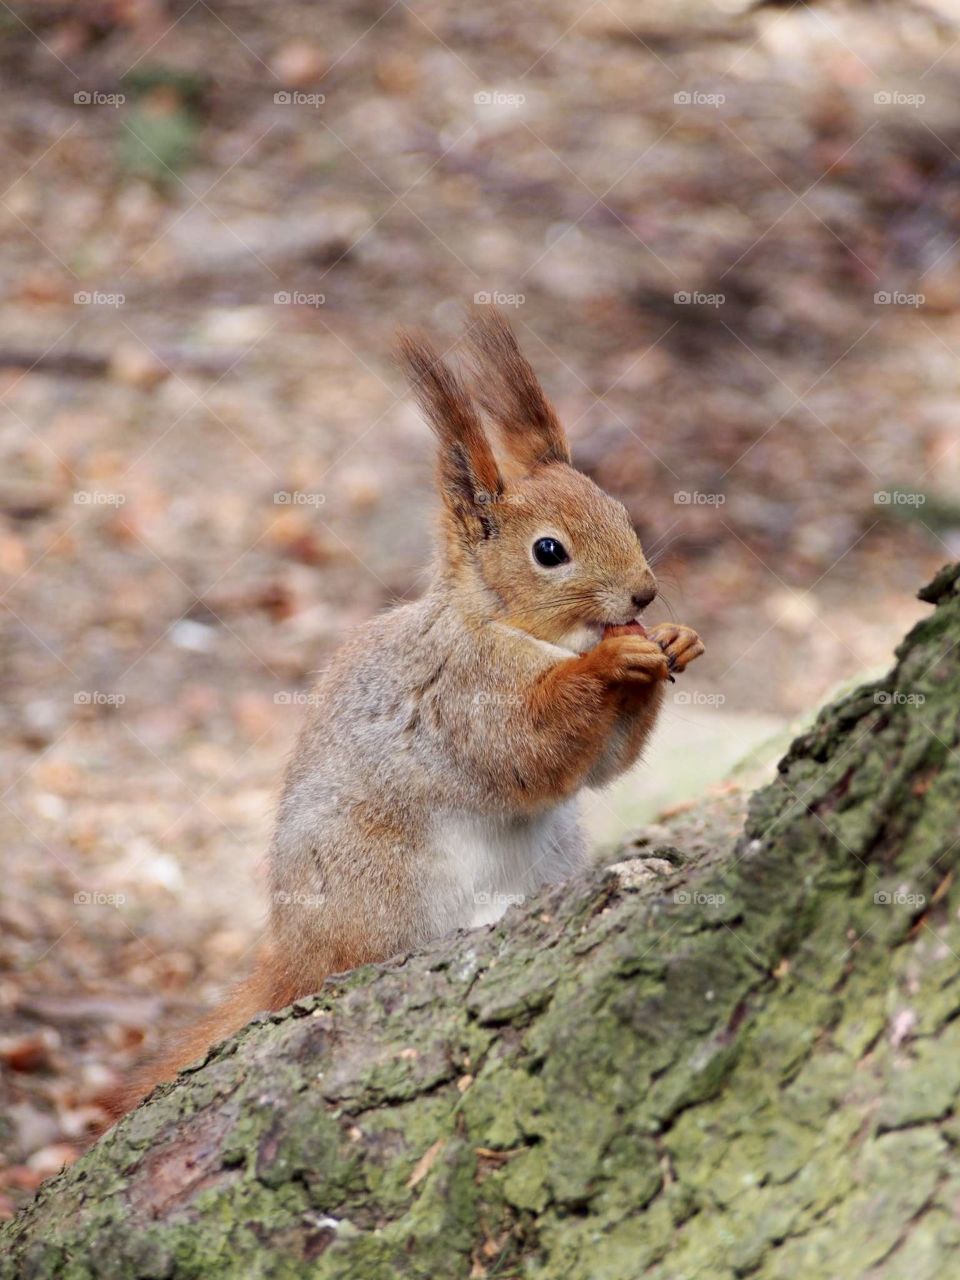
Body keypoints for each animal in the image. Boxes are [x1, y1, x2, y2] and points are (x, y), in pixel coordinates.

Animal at [113, 309, 703, 1116]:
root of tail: (292, 953)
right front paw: (611, 662)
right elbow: (528, 750)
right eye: (549, 551)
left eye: (619, 510)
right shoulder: (459, 694)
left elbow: (601, 765)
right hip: (382, 884)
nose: (644, 593)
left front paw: (673, 640)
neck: (513, 629)